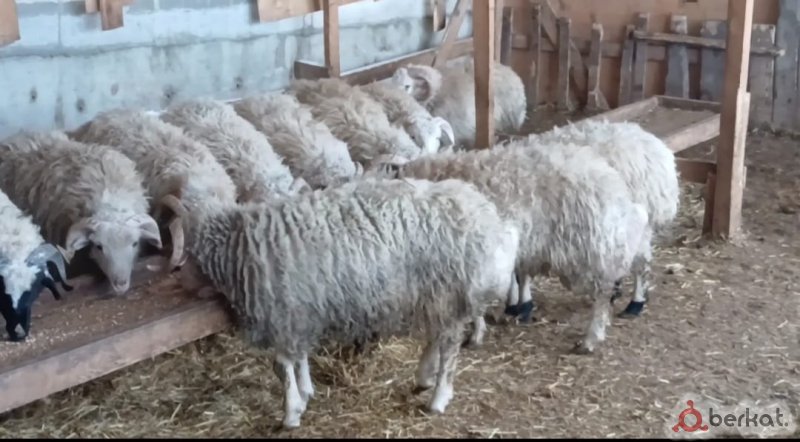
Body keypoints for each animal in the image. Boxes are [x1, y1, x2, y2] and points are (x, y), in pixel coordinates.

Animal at [172, 177, 520, 428]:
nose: (180, 281)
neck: (237, 249)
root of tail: (488, 216)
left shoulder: (284, 313)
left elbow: (282, 366)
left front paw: (291, 413)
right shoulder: (300, 311)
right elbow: (299, 358)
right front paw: (306, 391)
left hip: (448, 292)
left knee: (449, 347)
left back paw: (437, 398)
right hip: (436, 295)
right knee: (438, 336)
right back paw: (424, 377)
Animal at [381, 143, 650, 354]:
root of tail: (610, 181)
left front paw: (476, 334)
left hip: (590, 247)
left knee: (604, 289)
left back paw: (592, 337)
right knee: (638, 257)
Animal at [503, 119, 679, 320]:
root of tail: (656, 147)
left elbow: (521, 271)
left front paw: (522, 305)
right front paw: (513, 303)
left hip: (640, 221)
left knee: (641, 263)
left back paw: (635, 302)